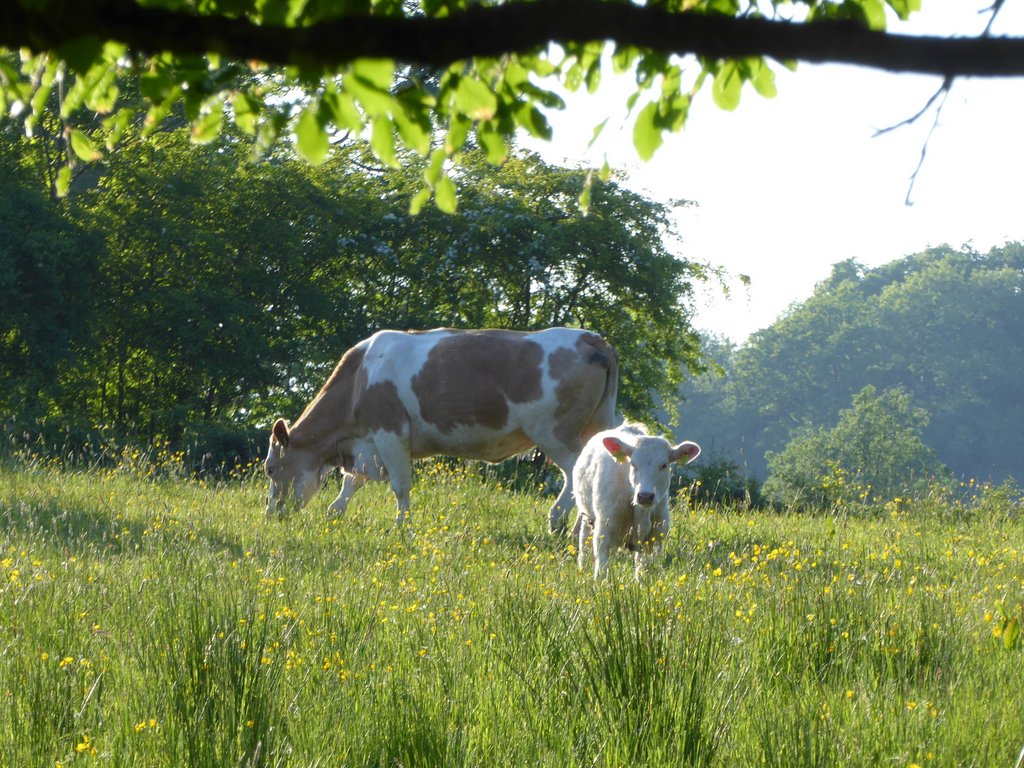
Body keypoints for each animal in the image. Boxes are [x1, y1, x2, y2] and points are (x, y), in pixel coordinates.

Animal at [264, 327, 618, 532]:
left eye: (269, 469)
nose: (270, 515)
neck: (360, 378)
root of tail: (590, 337)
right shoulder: (369, 445)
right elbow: (354, 480)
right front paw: (335, 512)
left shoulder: (390, 434)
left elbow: (400, 485)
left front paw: (402, 526)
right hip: (594, 426)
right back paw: (582, 528)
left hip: (554, 432)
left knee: (575, 472)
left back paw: (557, 520)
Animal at [572, 423, 700, 580]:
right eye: (633, 464)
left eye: (664, 465)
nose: (645, 496)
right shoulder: (604, 529)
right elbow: (602, 567)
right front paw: (600, 582)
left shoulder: (656, 536)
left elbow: (644, 568)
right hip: (587, 515)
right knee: (584, 541)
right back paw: (582, 569)